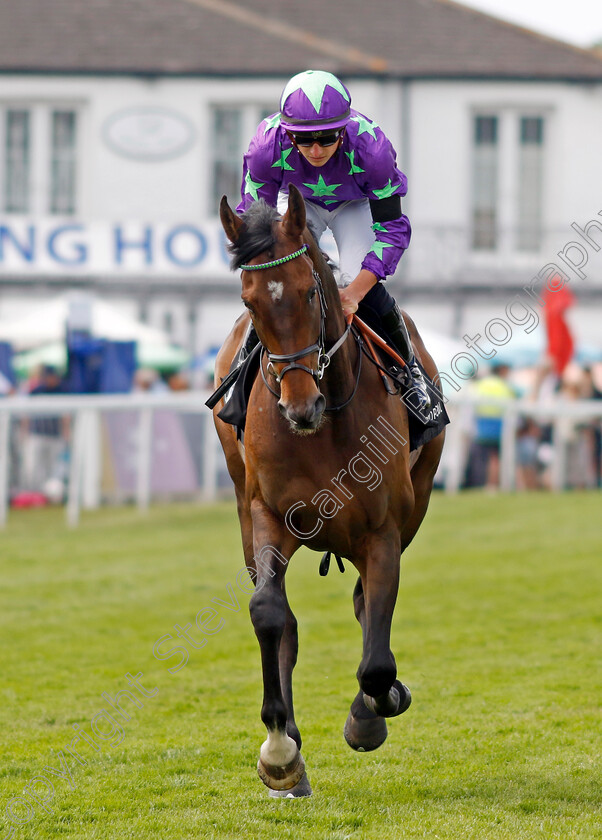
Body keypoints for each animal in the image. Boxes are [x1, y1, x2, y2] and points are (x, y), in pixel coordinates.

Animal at [213, 187, 442, 796]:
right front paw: (279, 750)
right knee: (286, 623)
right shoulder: (268, 514)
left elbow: (377, 655)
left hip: (417, 501)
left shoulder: (383, 530)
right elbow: (270, 613)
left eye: (309, 292)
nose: (300, 407)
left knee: (366, 605)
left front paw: (371, 712)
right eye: (249, 301)